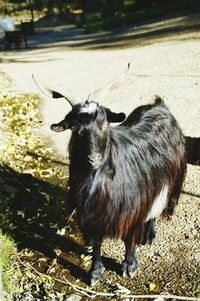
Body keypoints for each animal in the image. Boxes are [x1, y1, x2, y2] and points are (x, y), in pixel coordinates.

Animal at [34, 72, 186, 284]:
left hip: (172, 177)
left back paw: (150, 235)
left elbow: (129, 239)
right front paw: (94, 273)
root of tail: (159, 105)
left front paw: (130, 266)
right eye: (74, 128)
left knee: (158, 202)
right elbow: (96, 243)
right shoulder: (90, 213)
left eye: (105, 123)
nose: (94, 159)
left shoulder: (132, 207)